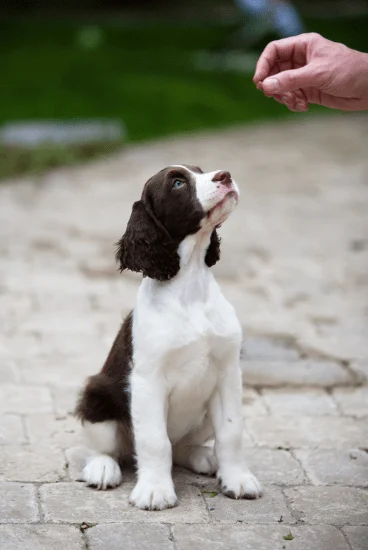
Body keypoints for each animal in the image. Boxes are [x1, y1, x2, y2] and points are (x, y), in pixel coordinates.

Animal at [75, 165, 262, 512]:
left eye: (201, 171)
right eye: (177, 183)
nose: (225, 175)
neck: (189, 287)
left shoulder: (228, 373)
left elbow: (231, 432)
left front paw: (238, 480)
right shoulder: (148, 381)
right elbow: (154, 441)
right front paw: (154, 491)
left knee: (181, 447)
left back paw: (203, 457)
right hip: (97, 396)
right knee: (108, 448)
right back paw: (102, 468)